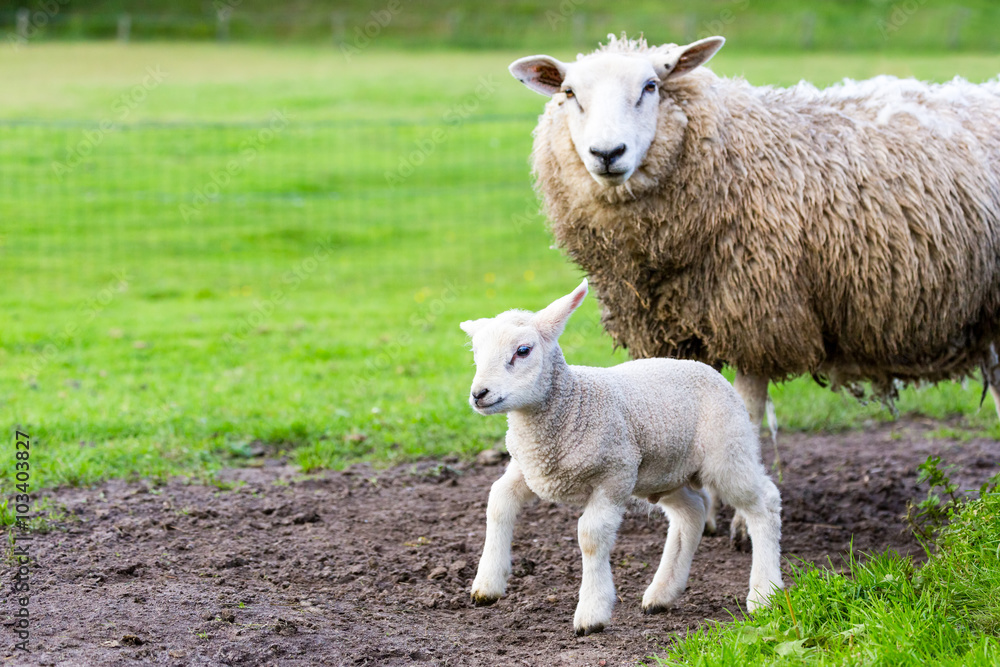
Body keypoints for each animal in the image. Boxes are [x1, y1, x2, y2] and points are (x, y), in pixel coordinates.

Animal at [460, 279, 783, 636]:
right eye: (475, 353)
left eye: (523, 351)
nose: (479, 394)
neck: (572, 406)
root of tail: (708, 370)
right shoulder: (529, 469)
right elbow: (498, 501)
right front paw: (487, 585)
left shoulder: (614, 477)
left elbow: (591, 536)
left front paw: (591, 613)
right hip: (663, 472)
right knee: (692, 512)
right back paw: (662, 594)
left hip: (727, 451)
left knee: (764, 503)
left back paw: (764, 594)